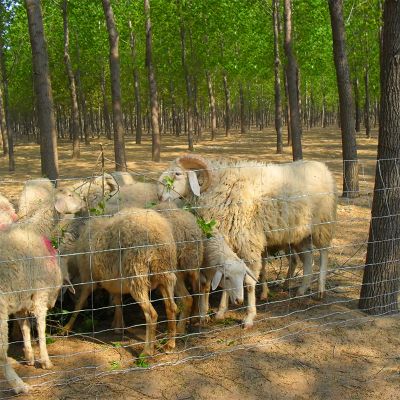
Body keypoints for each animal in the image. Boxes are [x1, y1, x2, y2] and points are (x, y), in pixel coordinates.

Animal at [0, 186, 86, 396]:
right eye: (70, 195)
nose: (84, 203)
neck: (35, 229)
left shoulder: (22, 297)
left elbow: (24, 327)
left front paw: (30, 357)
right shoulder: (39, 293)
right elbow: (40, 327)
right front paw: (45, 360)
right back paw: (20, 385)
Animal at [62, 208, 178, 354]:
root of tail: (158, 236)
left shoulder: (88, 278)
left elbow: (79, 304)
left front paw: (66, 327)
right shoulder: (114, 281)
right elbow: (118, 301)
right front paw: (118, 325)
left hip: (137, 275)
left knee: (151, 315)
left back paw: (146, 351)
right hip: (165, 274)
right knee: (171, 307)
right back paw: (170, 344)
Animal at [157, 155, 338, 326]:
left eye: (177, 173)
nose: (159, 196)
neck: (220, 187)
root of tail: (322, 167)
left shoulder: (249, 243)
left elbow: (250, 283)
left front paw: (249, 317)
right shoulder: (229, 242)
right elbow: (226, 277)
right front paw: (221, 311)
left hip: (322, 224)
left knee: (323, 253)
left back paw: (320, 290)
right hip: (299, 232)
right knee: (308, 256)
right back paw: (302, 289)